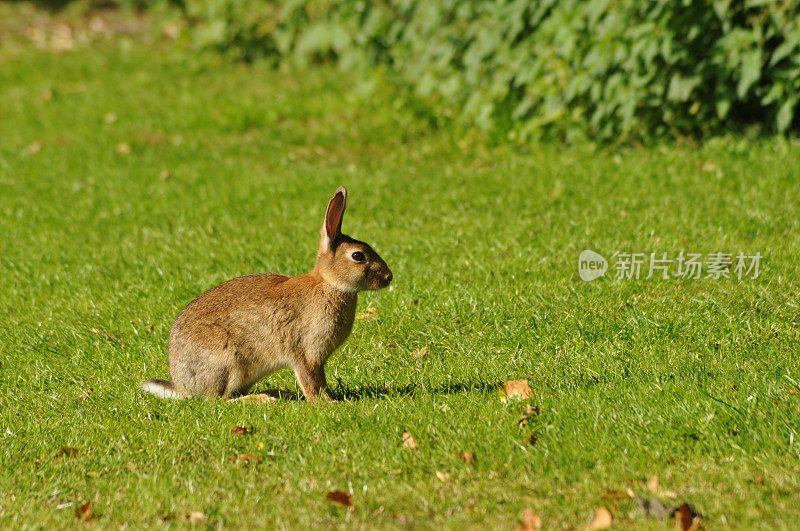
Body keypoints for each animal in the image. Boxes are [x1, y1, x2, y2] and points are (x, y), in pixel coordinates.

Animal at [145, 187, 396, 404]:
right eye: (358, 256)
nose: (389, 277)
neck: (328, 283)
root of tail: (182, 385)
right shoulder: (305, 352)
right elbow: (311, 382)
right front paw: (327, 404)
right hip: (225, 362)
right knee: (217, 401)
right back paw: (263, 399)